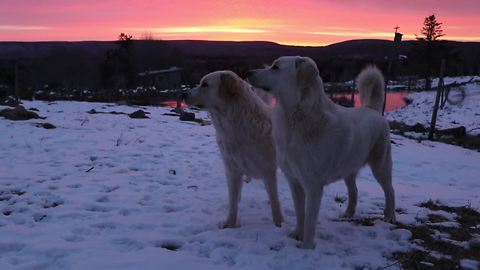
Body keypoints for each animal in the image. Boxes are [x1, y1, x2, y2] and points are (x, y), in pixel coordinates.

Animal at [183, 70, 282, 228]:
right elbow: (233, 201)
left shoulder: (268, 171)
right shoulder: (232, 170)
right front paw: (230, 223)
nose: (183, 94)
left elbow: (274, 200)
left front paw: (279, 223)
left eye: (205, 84)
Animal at [246, 56, 396, 249]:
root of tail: (373, 109)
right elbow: (300, 213)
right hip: (348, 169)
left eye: (276, 67)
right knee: (354, 191)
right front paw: (297, 234)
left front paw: (306, 246)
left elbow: (310, 220)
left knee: (390, 191)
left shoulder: (313, 186)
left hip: (380, 166)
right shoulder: (294, 181)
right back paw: (348, 213)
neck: (296, 116)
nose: (247, 73)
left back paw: (390, 217)